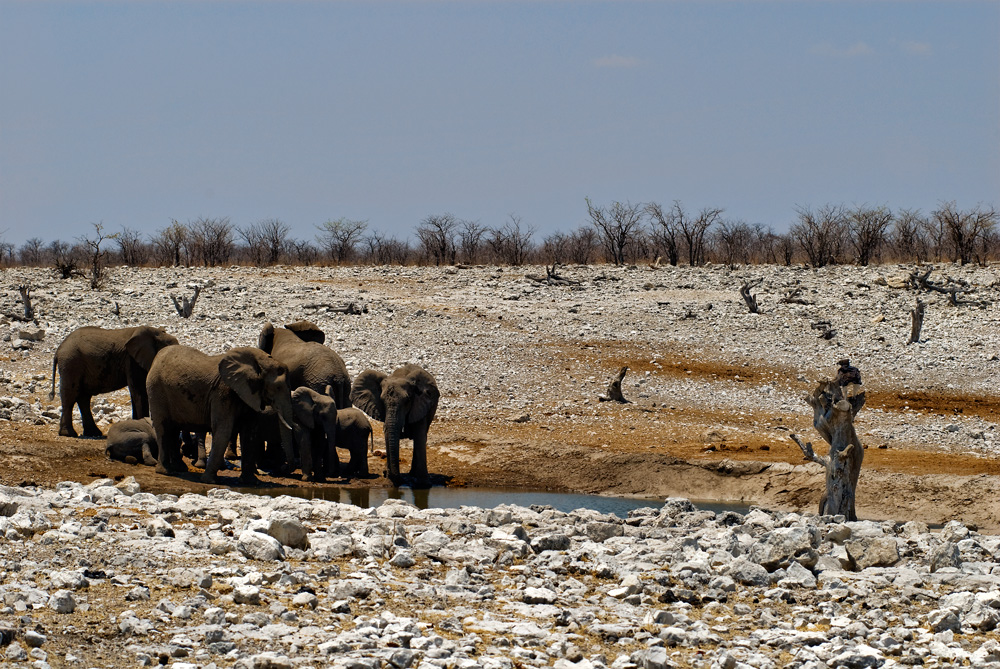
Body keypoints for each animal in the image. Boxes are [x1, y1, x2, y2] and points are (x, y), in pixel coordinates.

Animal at [49, 324, 180, 438]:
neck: (155, 332)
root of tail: (58, 350)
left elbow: (135, 393)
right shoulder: (131, 360)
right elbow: (139, 392)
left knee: (84, 398)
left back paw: (94, 433)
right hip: (71, 363)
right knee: (71, 396)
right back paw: (69, 434)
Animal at [145, 348, 294, 482]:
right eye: (278, 387)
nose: (283, 470)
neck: (259, 360)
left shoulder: (249, 395)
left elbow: (250, 434)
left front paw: (250, 482)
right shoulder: (222, 393)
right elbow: (224, 431)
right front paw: (209, 481)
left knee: (174, 429)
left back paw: (180, 469)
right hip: (156, 389)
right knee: (163, 428)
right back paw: (166, 472)